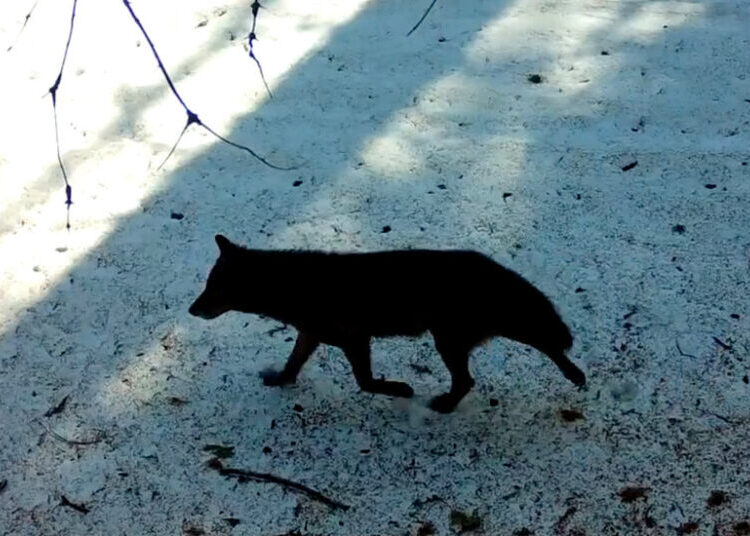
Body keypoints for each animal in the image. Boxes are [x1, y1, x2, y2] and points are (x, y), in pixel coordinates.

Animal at [189, 235, 585, 413]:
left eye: (211, 288)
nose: (191, 310)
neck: (295, 286)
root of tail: (493, 268)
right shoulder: (311, 336)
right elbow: (292, 364)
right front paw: (278, 381)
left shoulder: (355, 339)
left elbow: (366, 383)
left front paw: (401, 390)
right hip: (461, 337)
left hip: (453, 339)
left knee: (492, 368)